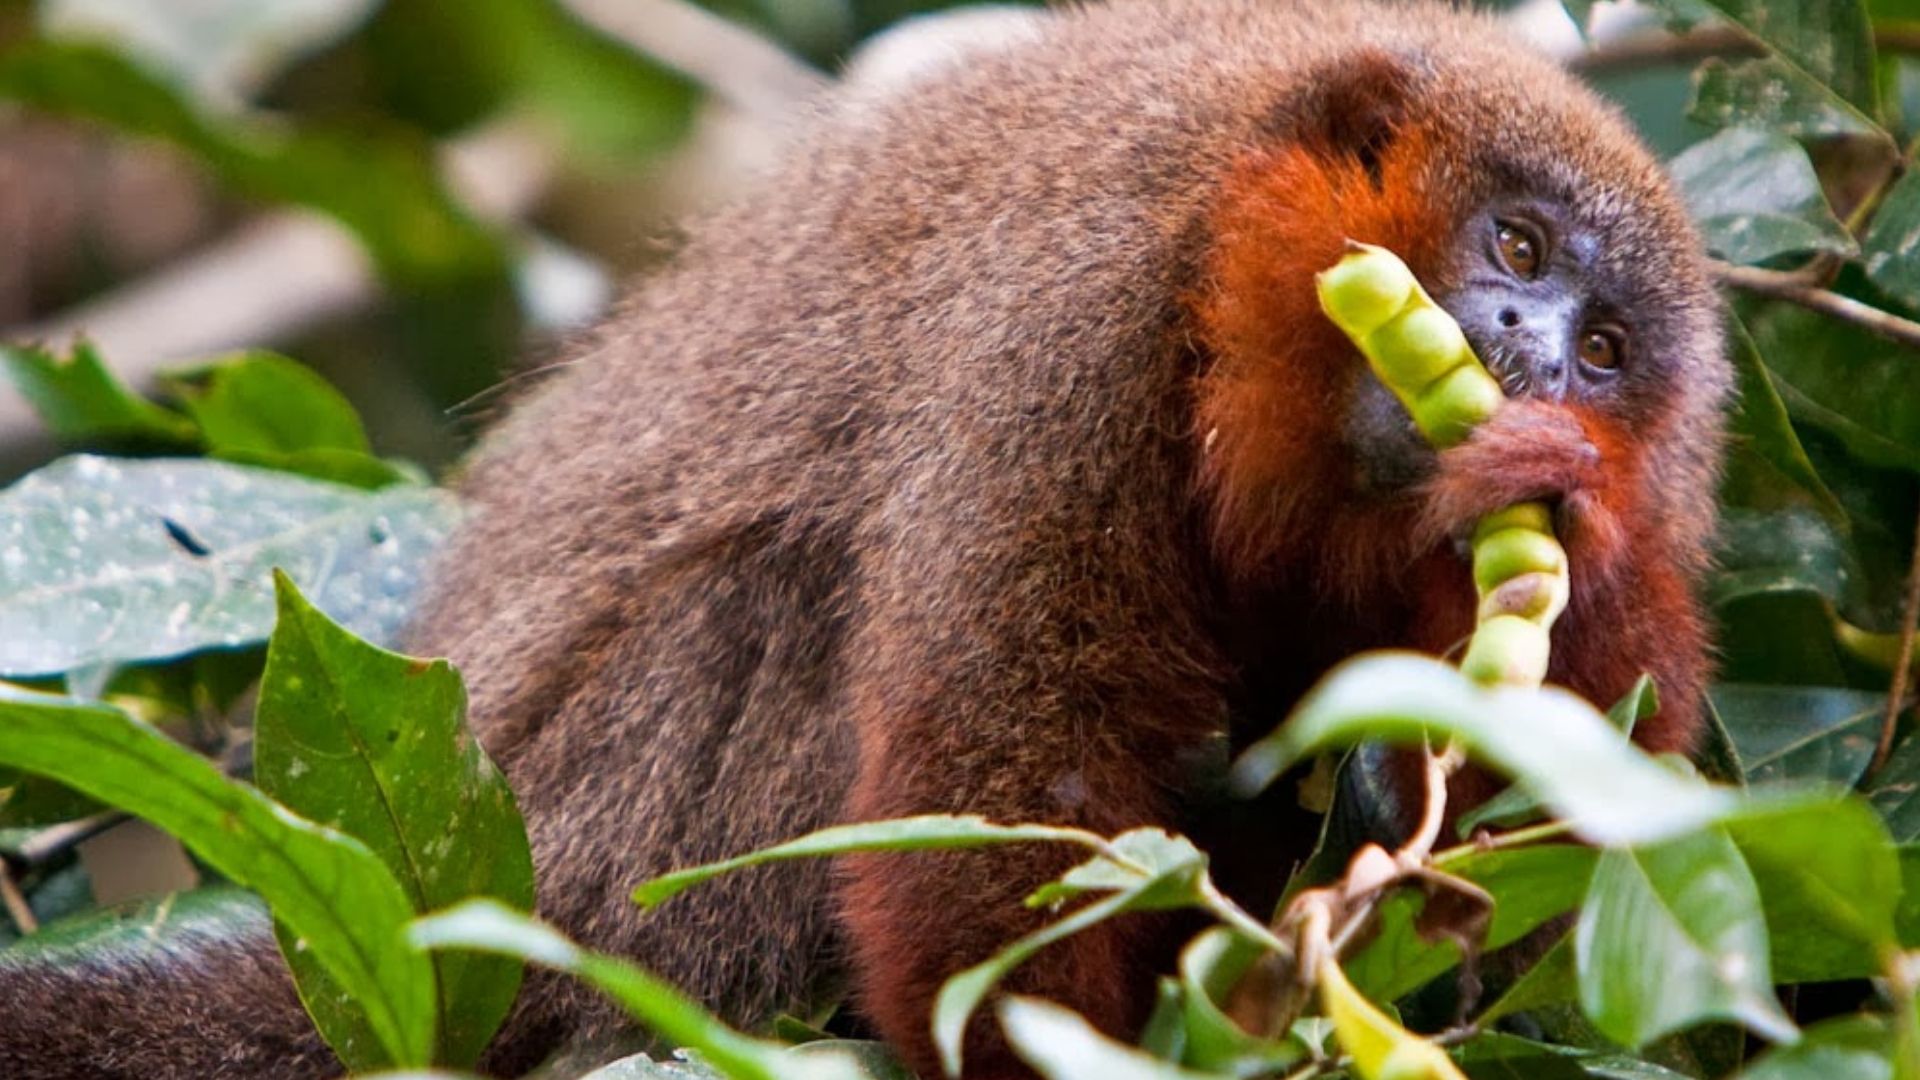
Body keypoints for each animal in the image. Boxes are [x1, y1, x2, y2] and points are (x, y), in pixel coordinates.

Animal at [0, 1, 1730, 1077]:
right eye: (1518, 246)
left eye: (1607, 353)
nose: (1524, 350)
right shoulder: (1075, 321)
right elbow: (994, 776)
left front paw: (1556, 517)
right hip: (609, 850)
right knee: (771, 604)